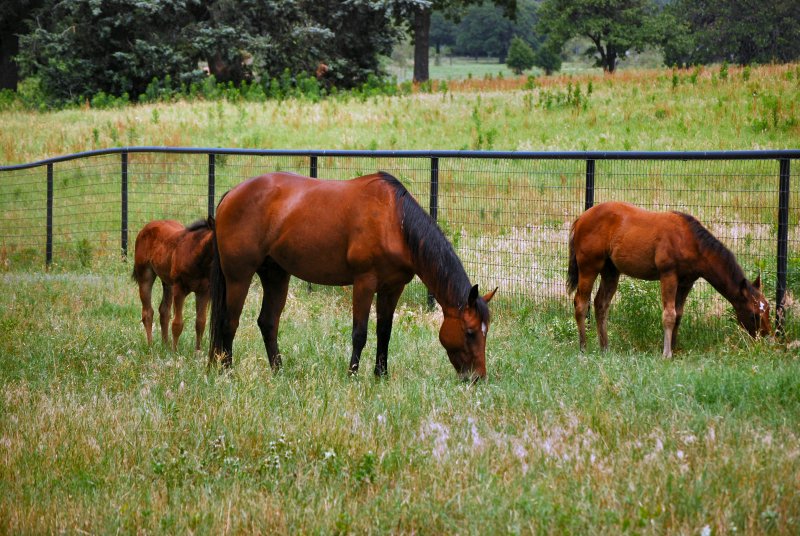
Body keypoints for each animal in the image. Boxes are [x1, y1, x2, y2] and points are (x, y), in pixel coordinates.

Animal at [134, 218, 216, 352]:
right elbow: (177, 323)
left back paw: (165, 345)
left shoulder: (203, 292)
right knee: (147, 312)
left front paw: (197, 351)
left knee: (164, 311)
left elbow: (201, 322)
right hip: (145, 276)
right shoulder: (180, 289)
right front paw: (174, 351)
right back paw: (151, 346)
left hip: (168, 283)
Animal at [208, 172, 494, 382]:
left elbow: (384, 331)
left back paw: (278, 371)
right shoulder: (364, 282)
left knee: (268, 323)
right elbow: (360, 333)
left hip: (275, 275)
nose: (477, 377)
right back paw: (227, 371)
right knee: (228, 322)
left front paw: (381, 375)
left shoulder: (392, 288)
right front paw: (352, 375)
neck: (394, 221)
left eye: (485, 331)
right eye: (470, 332)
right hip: (239, 276)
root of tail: (231, 194)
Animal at [564, 201, 772, 356]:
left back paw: (605, 348)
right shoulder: (668, 275)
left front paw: (674, 348)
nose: (766, 337)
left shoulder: (686, 282)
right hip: (589, 267)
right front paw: (666, 353)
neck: (692, 241)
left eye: (768, 309)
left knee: (601, 304)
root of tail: (580, 219)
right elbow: (669, 314)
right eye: (754, 314)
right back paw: (583, 348)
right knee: (580, 303)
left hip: (610, 271)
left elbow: (678, 314)